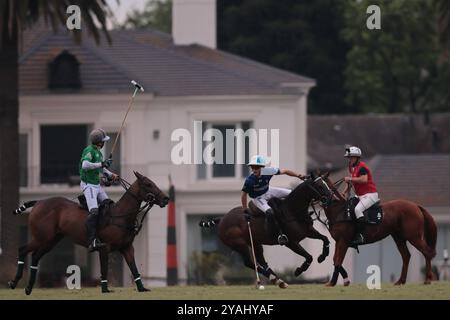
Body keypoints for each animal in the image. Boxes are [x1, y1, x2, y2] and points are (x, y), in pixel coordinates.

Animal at [7, 172, 170, 296]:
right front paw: (105, 290)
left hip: (50, 241)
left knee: (35, 256)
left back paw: (28, 288)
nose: (166, 198)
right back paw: (14, 282)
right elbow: (104, 269)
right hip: (42, 238)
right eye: (148, 184)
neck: (120, 215)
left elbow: (134, 268)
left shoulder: (127, 248)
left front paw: (142, 288)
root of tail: (39, 202)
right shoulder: (105, 248)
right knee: (23, 250)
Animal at [200, 175, 334, 288]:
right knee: (250, 263)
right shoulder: (291, 242)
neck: (292, 211)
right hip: (240, 244)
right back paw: (274, 279)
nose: (330, 198)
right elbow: (309, 257)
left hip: (256, 243)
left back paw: (279, 281)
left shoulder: (308, 231)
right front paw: (299, 270)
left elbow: (325, 239)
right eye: (320, 186)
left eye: (326, 184)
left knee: (262, 262)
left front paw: (323, 256)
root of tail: (222, 219)